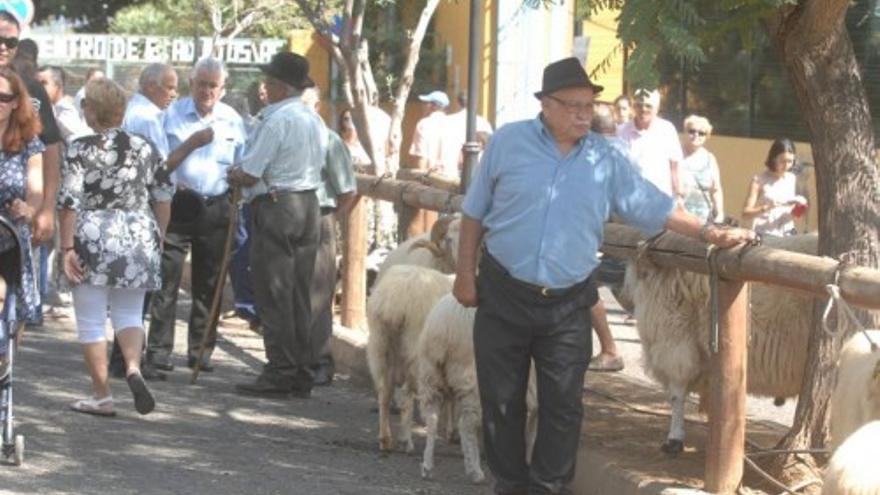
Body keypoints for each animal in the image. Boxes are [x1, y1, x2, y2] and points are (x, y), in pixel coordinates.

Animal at [366, 266, 454, 452]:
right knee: (406, 394)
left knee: (384, 393)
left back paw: (385, 439)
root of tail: (395, 301)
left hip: (380, 347)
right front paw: (452, 432)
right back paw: (406, 440)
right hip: (415, 352)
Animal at [418, 294, 540, 484]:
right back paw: (474, 471)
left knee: (432, 419)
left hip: (431, 375)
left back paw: (428, 467)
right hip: (474, 381)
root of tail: (444, 326)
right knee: (466, 425)